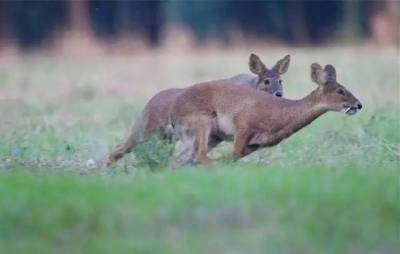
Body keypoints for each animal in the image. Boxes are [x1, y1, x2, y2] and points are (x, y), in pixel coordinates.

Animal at [171, 62, 362, 164]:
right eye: (340, 91)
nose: (359, 105)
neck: (276, 116)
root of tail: (175, 107)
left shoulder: (256, 144)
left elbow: (233, 157)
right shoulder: (243, 126)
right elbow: (231, 156)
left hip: (210, 135)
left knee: (183, 159)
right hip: (203, 121)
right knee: (199, 155)